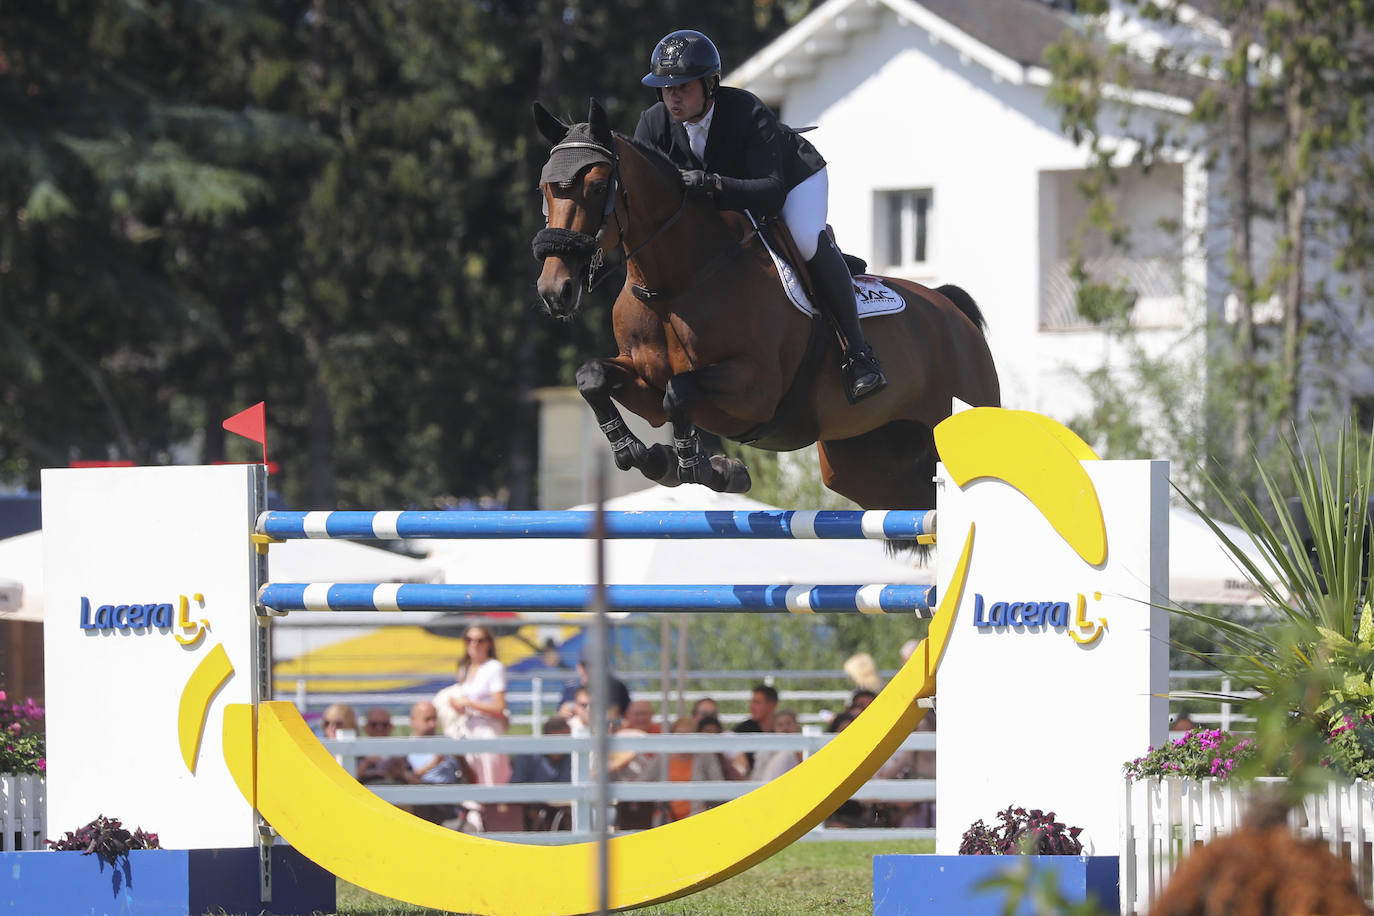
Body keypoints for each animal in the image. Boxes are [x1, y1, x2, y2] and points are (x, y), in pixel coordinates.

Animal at [527, 100, 1000, 516]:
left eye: (598, 186)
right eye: (545, 188)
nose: (555, 290)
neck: (675, 285)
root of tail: (952, 310)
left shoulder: (755, 388)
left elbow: (679, 391)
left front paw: (708, 469)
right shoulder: (644, 378)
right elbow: (593, 378)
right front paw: (645, 455)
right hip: (863, 465)